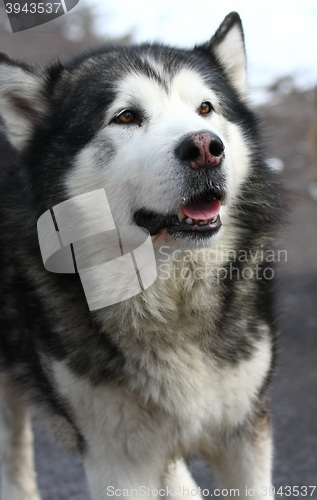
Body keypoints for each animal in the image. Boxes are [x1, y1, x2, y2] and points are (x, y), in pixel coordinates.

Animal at [0, 11, 282, 500]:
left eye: (205, 108)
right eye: (127, 116)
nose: (205, 148)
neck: (169, 292)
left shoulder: (243, 435)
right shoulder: (116, 460)